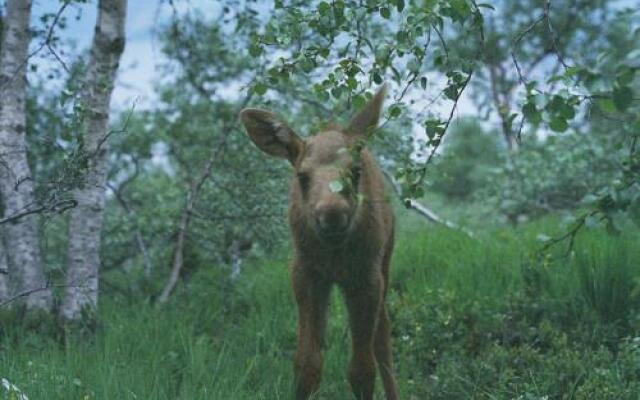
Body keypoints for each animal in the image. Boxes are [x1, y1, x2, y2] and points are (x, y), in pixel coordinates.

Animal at [241, 86, 396, 398]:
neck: (335, 255)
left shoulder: (366, 277)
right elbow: (306, 363)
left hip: (385, 263)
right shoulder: (305, 273)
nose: (332, 213)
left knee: (383, 340)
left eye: (355, 172)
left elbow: (363, 370)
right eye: (302, 175)